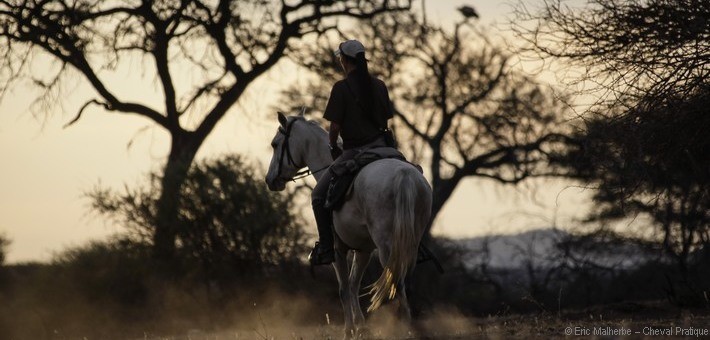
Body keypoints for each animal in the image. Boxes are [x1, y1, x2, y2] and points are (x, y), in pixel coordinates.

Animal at [266, 112, 434, 338]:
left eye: (275, 144)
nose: (270, 180)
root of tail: (404, 176)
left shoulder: (338, 250)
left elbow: (344, 288)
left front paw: (349, 330)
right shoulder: (363, 250)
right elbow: (354, 285)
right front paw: (361, 327)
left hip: (386, 247)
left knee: (396, 281)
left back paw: (404, 328)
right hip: (409, 244)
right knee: (404, 281)